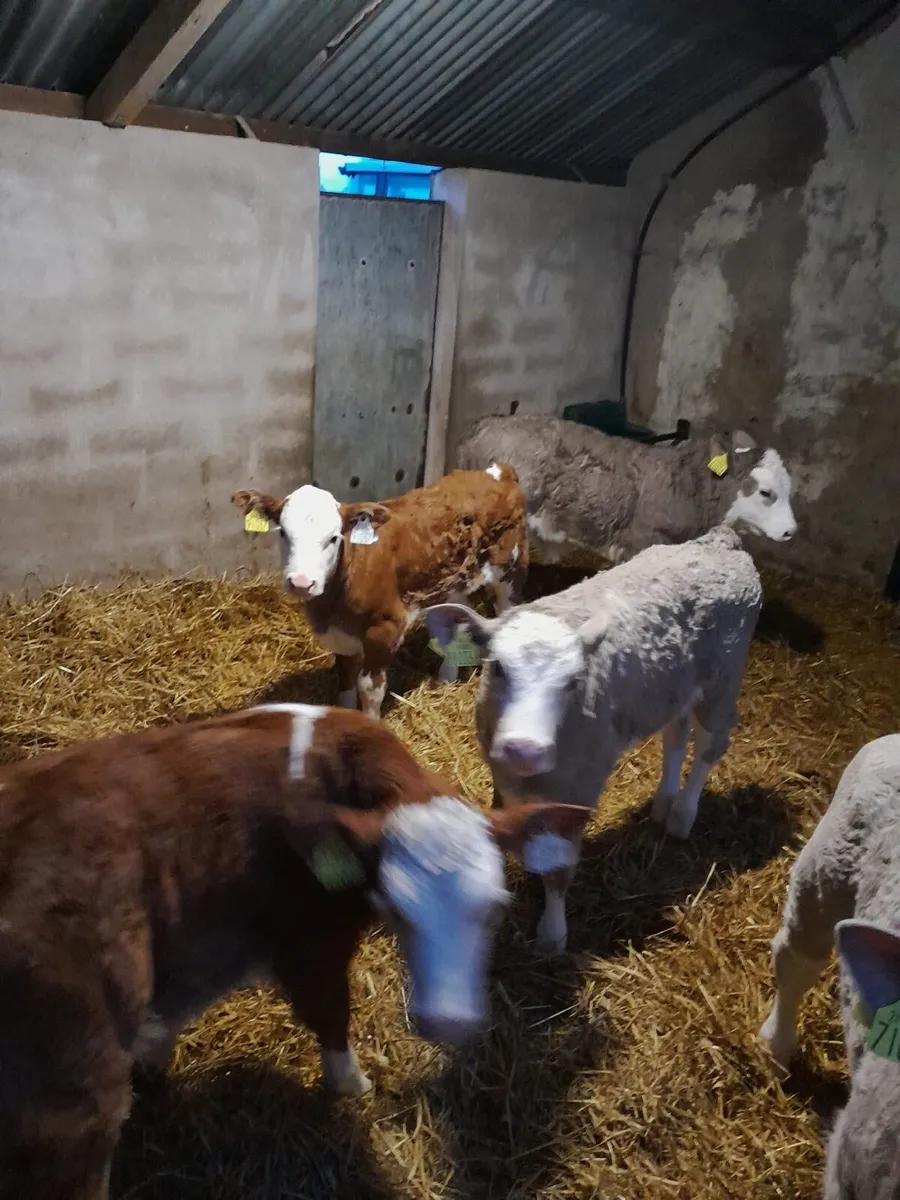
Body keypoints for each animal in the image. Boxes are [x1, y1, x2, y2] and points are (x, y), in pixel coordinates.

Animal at [0, 703, 589, 1199]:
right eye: (395, 905)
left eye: (494, 907)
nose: (448, 1021)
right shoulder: (310, 945)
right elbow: (331, 1016)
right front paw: (354, 1085)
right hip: (70, 1113)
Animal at [232, 467, 528, 719]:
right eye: (282, 532)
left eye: (334, 537)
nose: (302, 583)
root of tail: (498, 472)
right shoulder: (342, 635)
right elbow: (345, 678)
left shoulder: (385, 627)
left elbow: (369, 688)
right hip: (454, 581)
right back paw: (446, 677)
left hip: (510, 571)